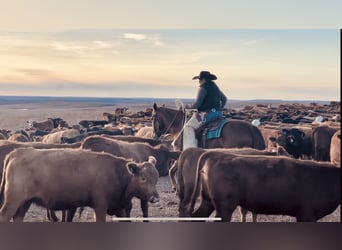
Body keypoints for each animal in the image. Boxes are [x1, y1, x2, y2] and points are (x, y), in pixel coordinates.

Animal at [0, 147, 159, 222]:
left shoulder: (119, 208)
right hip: (13, 201)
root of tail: (16, 153)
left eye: (156, 178)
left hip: (25, 202)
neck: (117, 173)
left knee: (18, 217)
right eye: (143, 178)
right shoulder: (100, 207)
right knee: (5, 216)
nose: (155, 198)